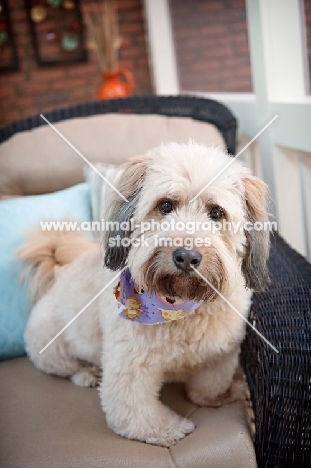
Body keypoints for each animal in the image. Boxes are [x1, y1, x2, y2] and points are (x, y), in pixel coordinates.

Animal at [18, 142, 270, 446]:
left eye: (216, 212)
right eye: (165, 205)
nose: (186, 257)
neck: (178, 306)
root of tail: (59, 274)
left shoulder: (221, 353)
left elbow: (208, 384)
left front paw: (222, 395)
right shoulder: (129, 364)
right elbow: (134, 411)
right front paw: (167, 429)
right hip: (50, 346)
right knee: (67, 367)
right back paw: (88, 373)